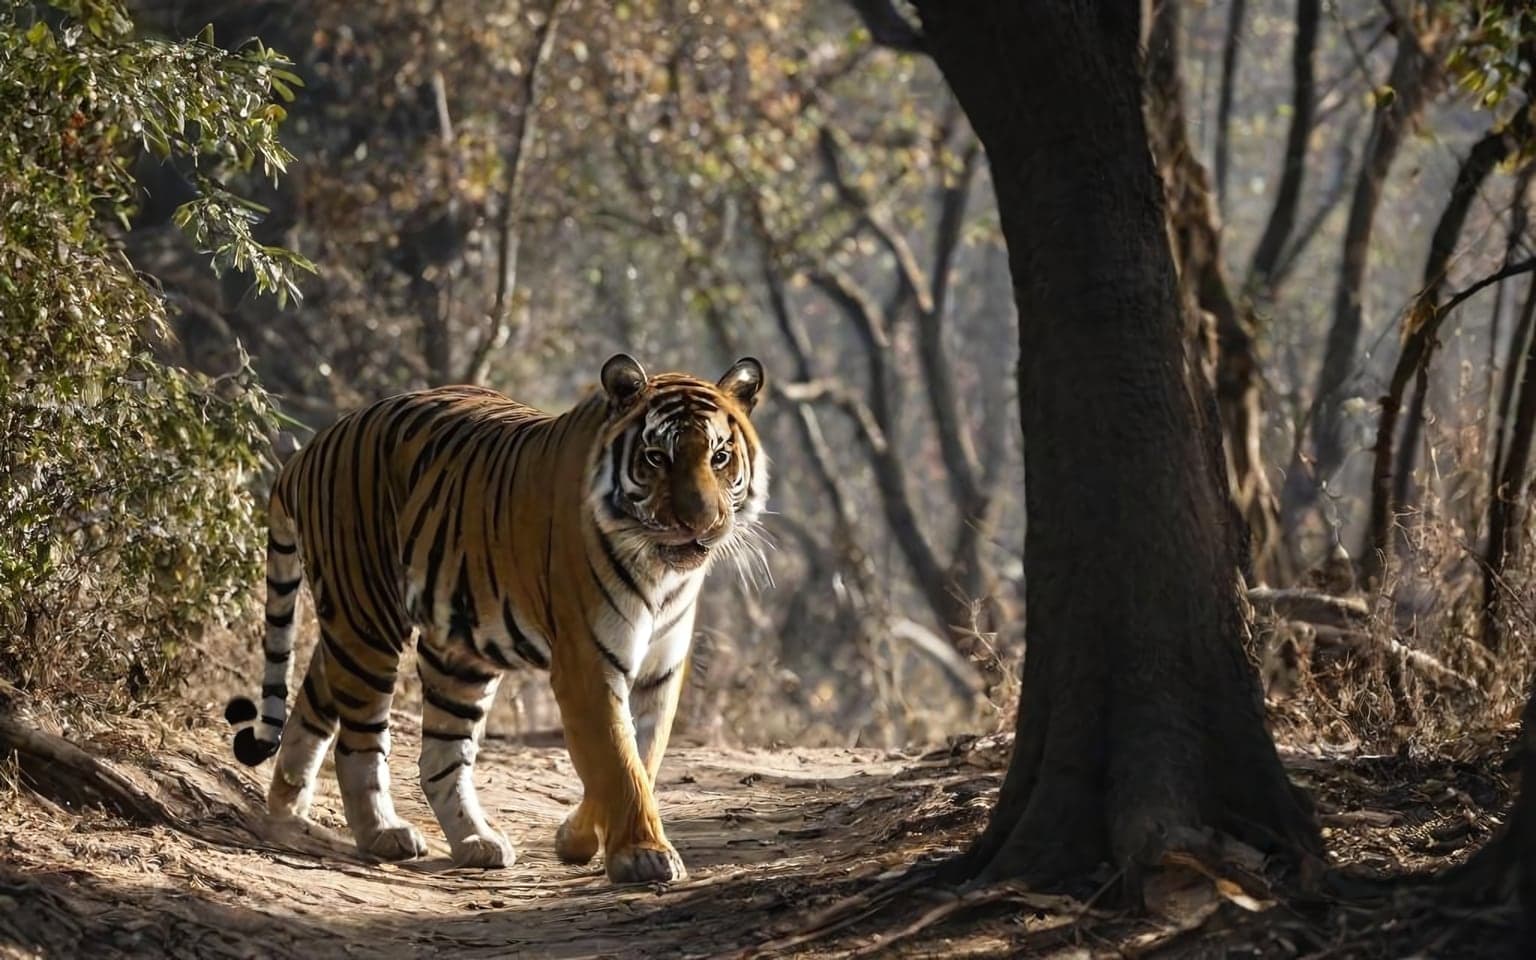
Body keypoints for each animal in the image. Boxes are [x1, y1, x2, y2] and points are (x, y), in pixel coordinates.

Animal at [223, 354, 768, 884]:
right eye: (657, 458)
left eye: (719, 457)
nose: (699, 524)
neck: (661, 573)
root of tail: (313, 446)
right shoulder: (587, 663)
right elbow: (618, 760)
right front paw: (643, 855)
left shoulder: (661, 668)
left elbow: (643, 756)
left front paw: (578, 839)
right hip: (369, 619)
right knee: (358, 743)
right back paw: (382, 833)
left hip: (443, 648)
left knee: (414, 745)